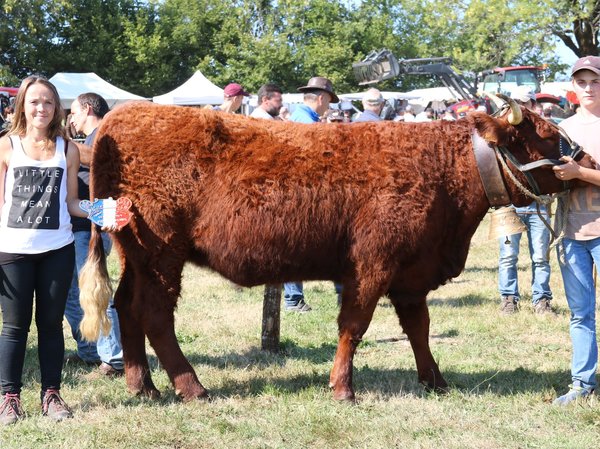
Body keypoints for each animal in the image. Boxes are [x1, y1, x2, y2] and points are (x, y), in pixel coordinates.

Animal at [78, 97, 592, 400]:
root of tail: (125, 115)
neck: (442, 169)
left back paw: (143, 387)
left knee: (126, 306)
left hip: (136, 255)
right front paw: (343, 388)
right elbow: (354, 326)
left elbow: (419, 328)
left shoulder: (411, 273)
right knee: (155, 314)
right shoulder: (371, 265)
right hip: (162, 254)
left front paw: (435, 380)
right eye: (549, 135)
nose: (586, 159)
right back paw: (191, 387)